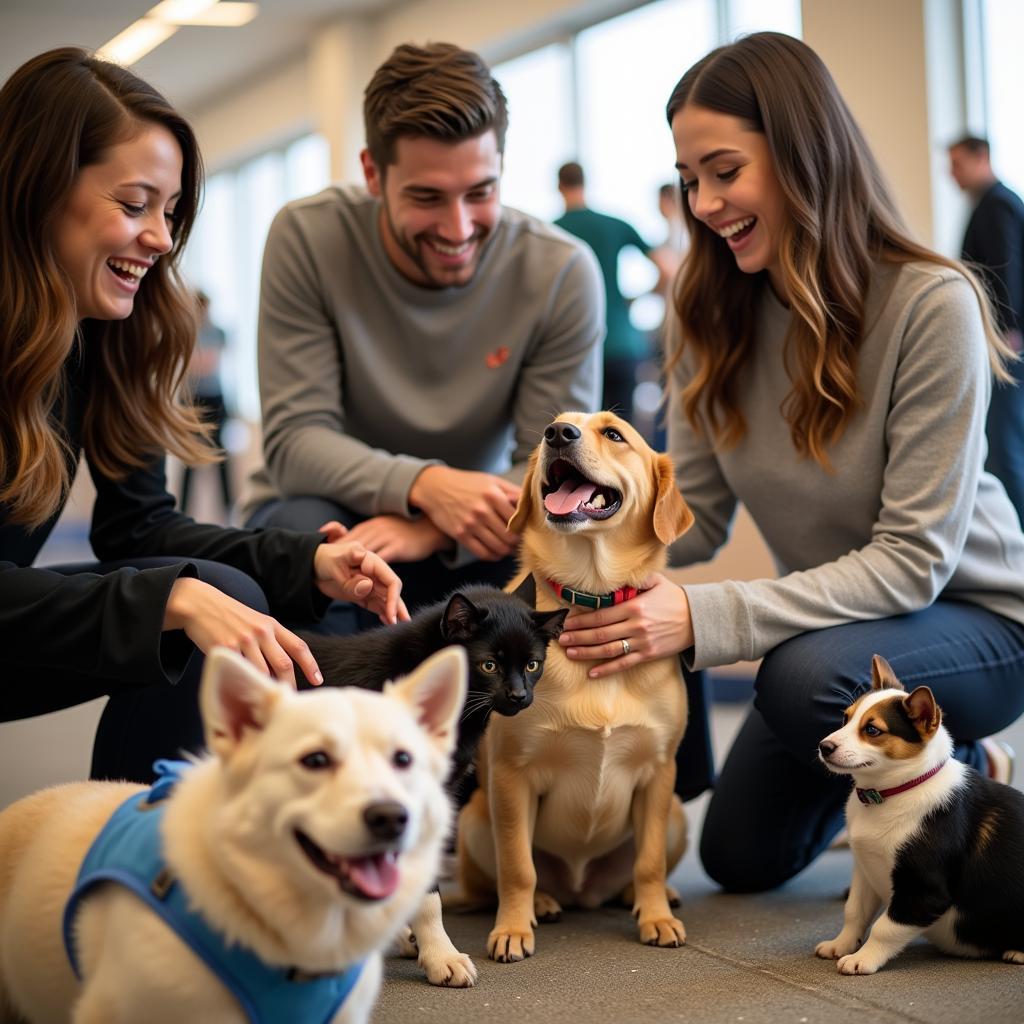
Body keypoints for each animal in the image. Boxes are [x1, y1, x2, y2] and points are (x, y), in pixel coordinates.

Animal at [458, 407, 692, 958]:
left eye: (614, 434)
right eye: (558, 424)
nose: (557, 435)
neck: (590, 593)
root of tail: (583, 890)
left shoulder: (659, 773)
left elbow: (648, 861)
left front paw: (656, 916)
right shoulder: (512, 777)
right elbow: (517, 867)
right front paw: (512, 928)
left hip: (676, 815)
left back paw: (642, 897)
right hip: (476, 820)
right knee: (508, 877)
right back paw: (542, 903)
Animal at [815, 655, 1024, 974]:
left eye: (872, 730)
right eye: (845, 718)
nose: (824, 747)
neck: (890, 793)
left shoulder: (923, 889)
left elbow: (885, 927)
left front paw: (863, 959)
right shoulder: (865, 869)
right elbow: (854, 911)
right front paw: (840, 945)